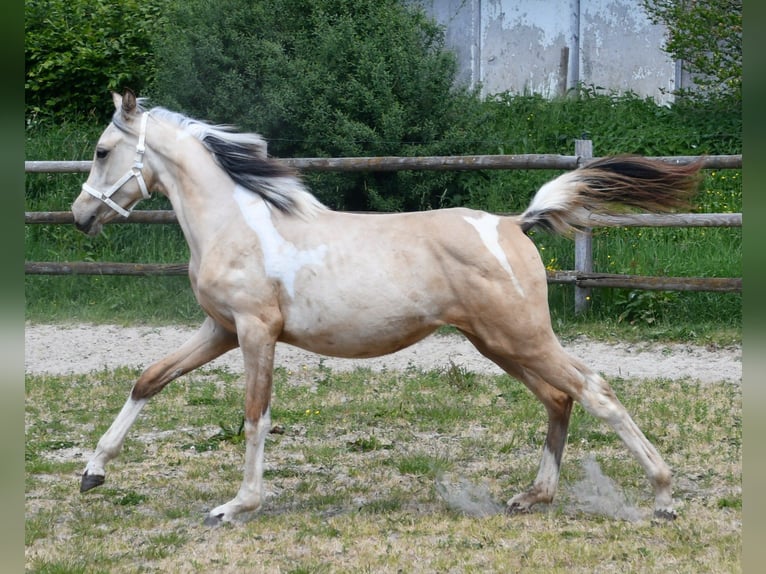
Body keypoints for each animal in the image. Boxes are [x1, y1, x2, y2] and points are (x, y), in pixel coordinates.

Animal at [71, 90, 701, 525]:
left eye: (102, 151)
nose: (80, 216)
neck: (239, 223)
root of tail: (513, 224)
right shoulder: (220, 329)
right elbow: (149, 379)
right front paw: (92, 473)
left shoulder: (255, 331)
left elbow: (254, 415)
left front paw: (236, 506)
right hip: (497, 343)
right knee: (558, 398)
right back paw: (532, 496)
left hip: (523, 337)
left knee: (595, 390)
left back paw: (664, 497)